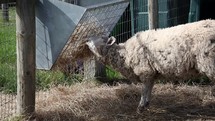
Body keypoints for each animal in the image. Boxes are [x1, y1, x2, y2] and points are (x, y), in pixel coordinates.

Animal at [85, 19, 215, 113]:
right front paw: (146, 104)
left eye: (101, 38)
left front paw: (141, 107)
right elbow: (150, 88)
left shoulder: (145, 70)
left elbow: (144, 89)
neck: (124, 54)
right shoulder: (151, 72)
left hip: (210, 63)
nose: (86, 39)